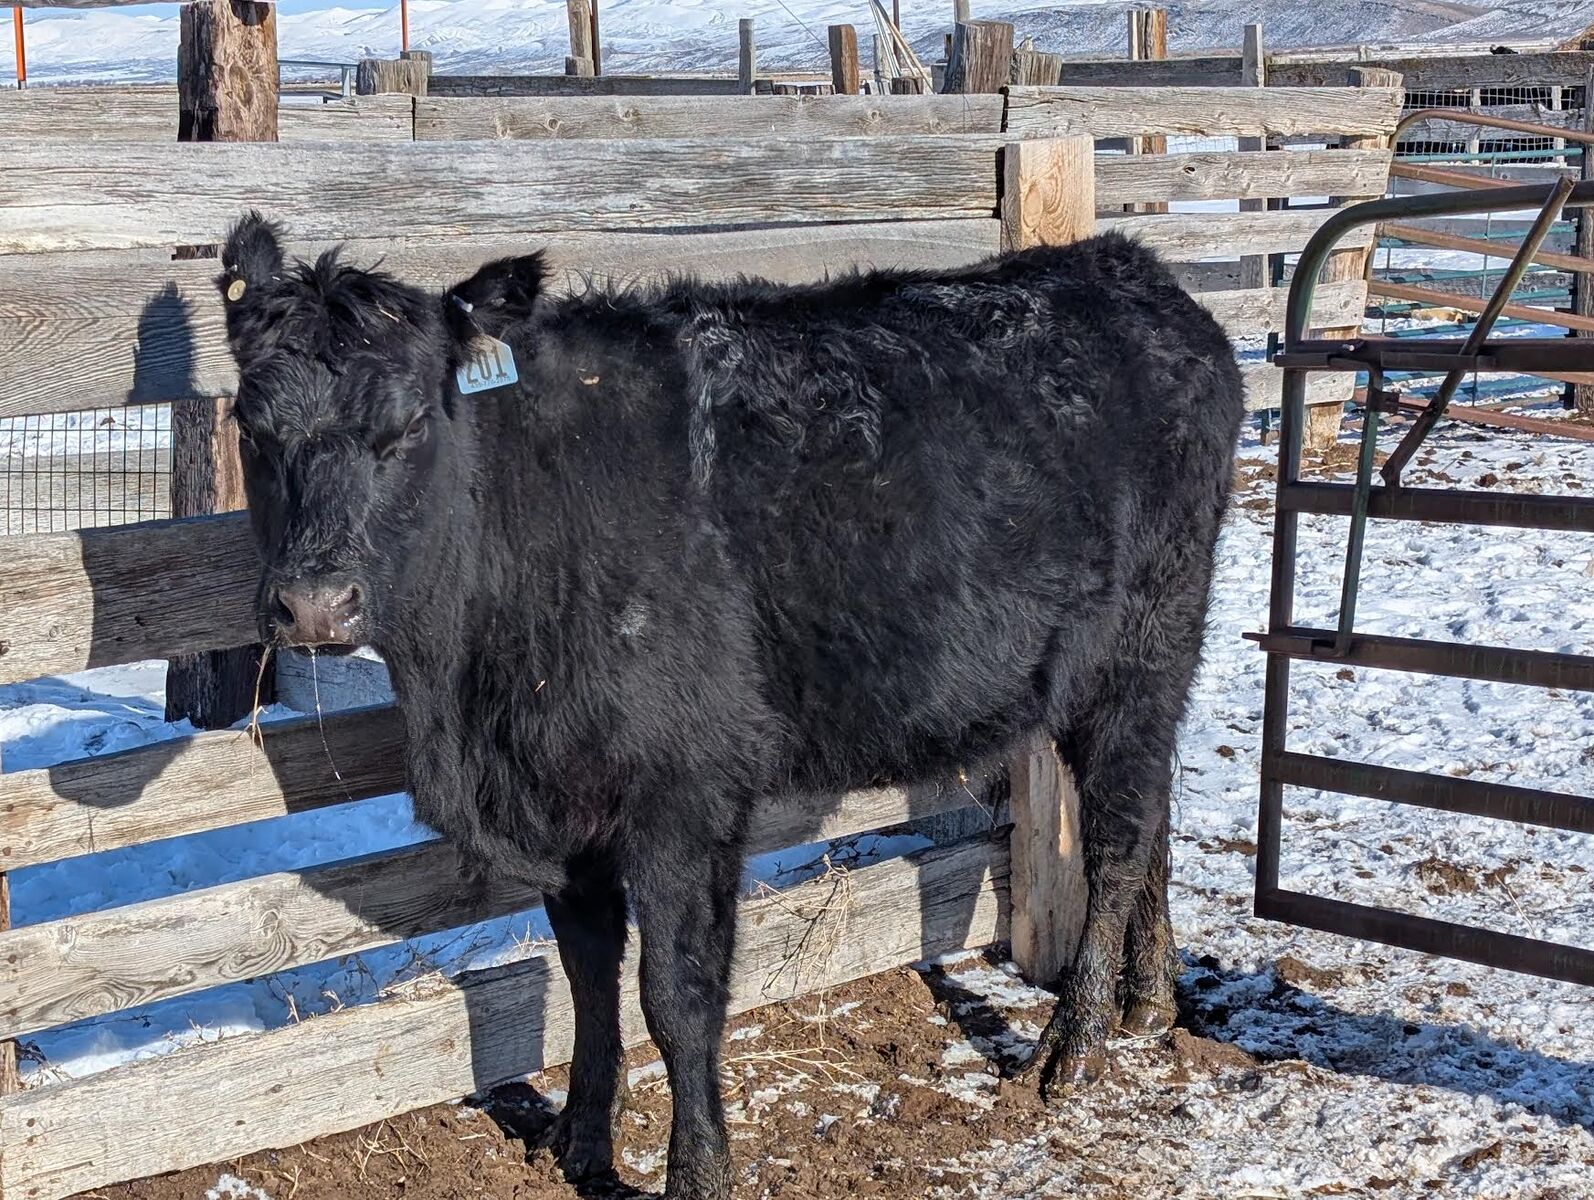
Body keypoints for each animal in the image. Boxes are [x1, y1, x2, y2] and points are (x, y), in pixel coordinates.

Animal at [217, 212, 1244, 1199]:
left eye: (404, 430)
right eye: (252, 430)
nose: (315, 604)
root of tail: (1121, 266)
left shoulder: (685, 793)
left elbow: (676, 997)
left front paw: (697, 1172)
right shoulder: (569, 807)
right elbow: (588, 978)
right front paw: (577, 1140)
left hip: (1141, 645)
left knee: (1116, 837)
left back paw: (1075, 1045)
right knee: (1151, 810)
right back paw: (1149, 999)